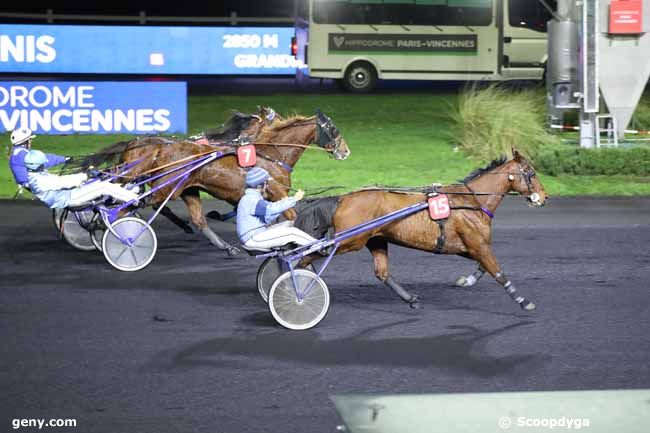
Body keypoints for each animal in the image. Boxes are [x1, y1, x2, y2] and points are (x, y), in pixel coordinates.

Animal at [91, 108, 350, 255]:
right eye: (333, 129)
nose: (345, 151)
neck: (273, 154)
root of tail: (160, 149)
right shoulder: (278, 192)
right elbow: (291, 216)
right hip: (165, 188)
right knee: (129, 206)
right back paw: (111, 230)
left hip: (188, 189)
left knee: (197, 219)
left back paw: (225, 246)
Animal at [298, 151, 548, 310]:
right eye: (532, 173)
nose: (545, 197)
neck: (471, 201)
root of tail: (342, 198)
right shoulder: (477, 243)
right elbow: (497, 271)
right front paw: (523, 301)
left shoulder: (466, 246)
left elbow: (482, 267)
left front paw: (465, 281)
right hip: (350, 240)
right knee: (310, 254)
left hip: (376, 239)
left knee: (382, 273)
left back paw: (411, 299)